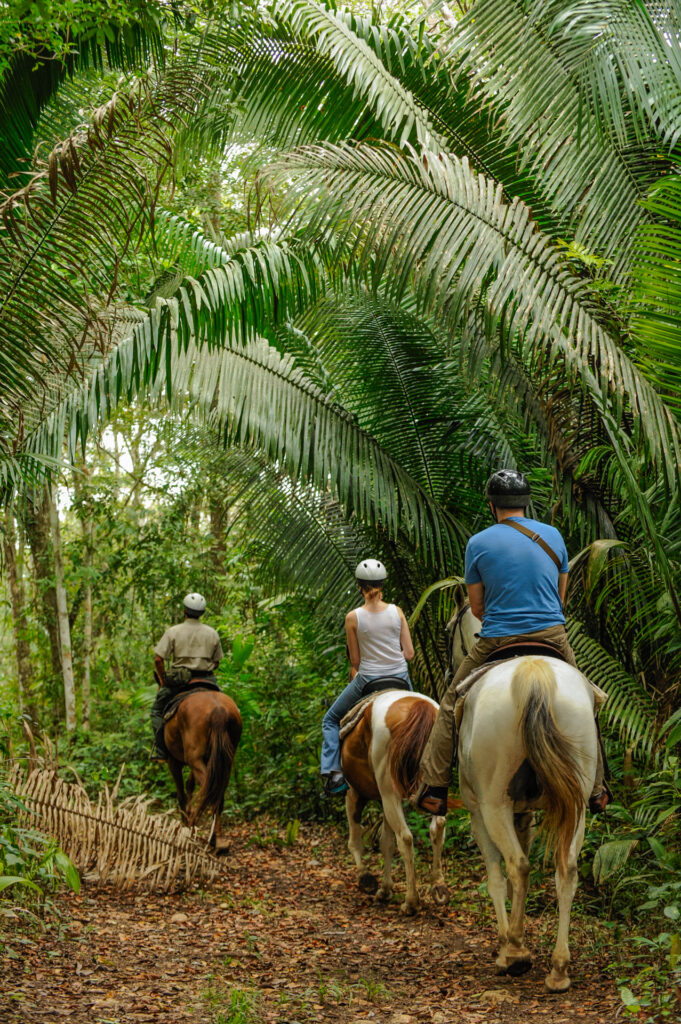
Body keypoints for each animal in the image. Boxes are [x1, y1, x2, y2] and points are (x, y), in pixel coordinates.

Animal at [162, 688, 241, 856]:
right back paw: (216, 840)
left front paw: (185, 822)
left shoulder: (173, 761)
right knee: (217, 792)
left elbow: (181, 793)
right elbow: (190, 784)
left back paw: (197, 831)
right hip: (224, 761)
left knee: (209, 790)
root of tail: (219, 710)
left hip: (195, 759)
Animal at [448, 598, 598, 991]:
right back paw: (559, 968)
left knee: (516, 865)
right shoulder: (526, 812)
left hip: (492, 804)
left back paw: (514, 952)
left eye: (449, 630)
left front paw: (508, 944)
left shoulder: (477, 812)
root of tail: (532, 674)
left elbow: (496, 879)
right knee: (566, 869)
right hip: (576, 801)